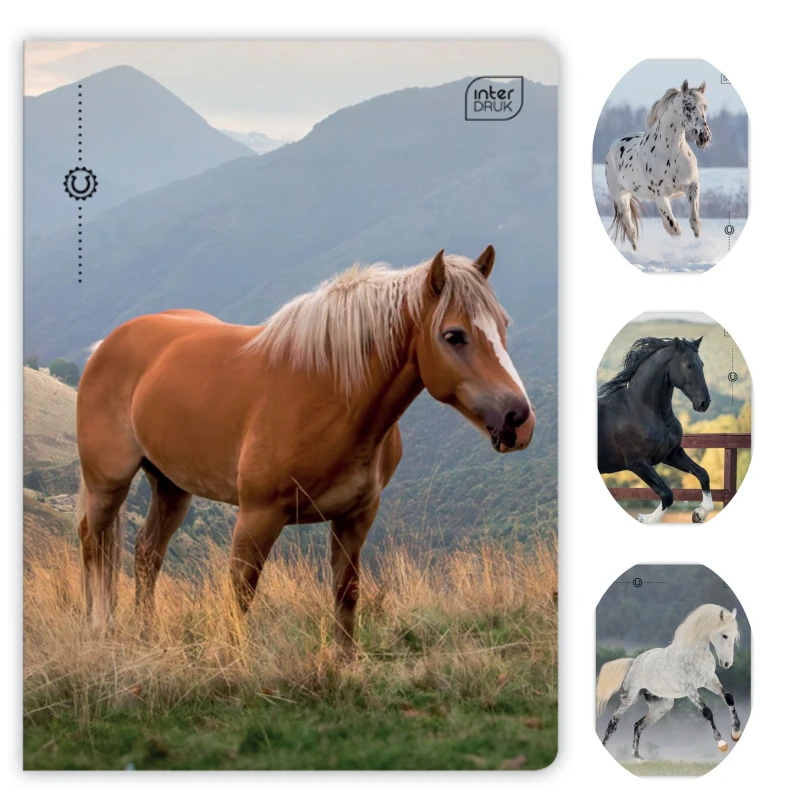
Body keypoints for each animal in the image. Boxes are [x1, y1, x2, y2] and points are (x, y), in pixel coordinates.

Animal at [75, 246, 535, 651]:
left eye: (503, 325)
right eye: (453, 335)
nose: (519, 420)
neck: (329, 392)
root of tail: (106, 346)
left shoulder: (355, 517)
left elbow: (346, 593)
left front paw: (344, 664)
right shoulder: (258, 516)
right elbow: (240, 595)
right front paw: (234, 664)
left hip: (171, 486)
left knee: (146, 553)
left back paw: (146, 636)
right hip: (107, 484)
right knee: (93, 545)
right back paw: (100, 630)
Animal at [597, 336, 712, 523]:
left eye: (701, 364)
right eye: (688, 365)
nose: (704, 403)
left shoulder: (671, 454)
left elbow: (703, 474)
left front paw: (699, 514)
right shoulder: (637, 463)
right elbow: (667, 494)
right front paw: (644, 519)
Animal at [597, 604, 742, 760]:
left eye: (734, 637)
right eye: (724, 635)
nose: (727, 663)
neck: (695, 654)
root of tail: (633, 663)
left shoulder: (710, 680)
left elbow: (728, 697)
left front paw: (736, 733)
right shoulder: (689, 687)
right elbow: (706, 711)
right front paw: (722, 744)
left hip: (661, 706)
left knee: (638, 725)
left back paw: (638, 758)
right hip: (628, 699)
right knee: (612, 725)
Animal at [605, 80, 711, 251]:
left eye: (705, 107)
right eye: (688, 106)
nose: (704, 137)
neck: (671, 154)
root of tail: (613, 147)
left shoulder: (692, 188)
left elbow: (695, 222)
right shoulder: (661, 196)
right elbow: (675, 228)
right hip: (622, 197)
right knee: (631, 230)